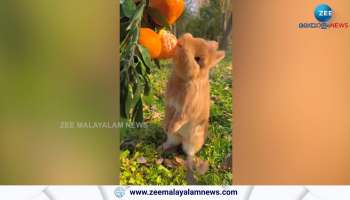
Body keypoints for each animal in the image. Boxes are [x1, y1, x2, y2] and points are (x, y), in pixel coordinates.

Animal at [161, 33, 226, 184]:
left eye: (197, 59)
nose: (181, 43)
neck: (183, 79)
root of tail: (182, 139)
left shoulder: (185, 110)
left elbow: (179, 119)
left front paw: (170, 127)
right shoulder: (170, 105)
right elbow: (168, 115)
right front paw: (165, 126)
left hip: (193, 141)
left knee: (189, 152)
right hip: (174, 138)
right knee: (173, 142)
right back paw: (163, 146)